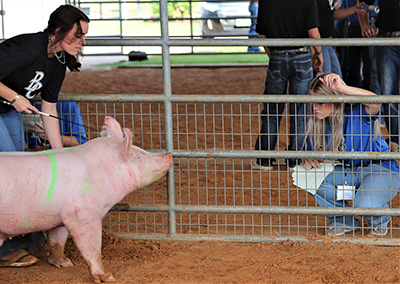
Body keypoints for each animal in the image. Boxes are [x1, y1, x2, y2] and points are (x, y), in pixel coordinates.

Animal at [0, 116, 170, 282]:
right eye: (139, 156)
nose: (168, 155)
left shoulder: (59, 215)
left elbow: (57, 241)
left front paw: (64, 263)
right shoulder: (82, 214)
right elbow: (92, 248)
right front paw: (107, 277)